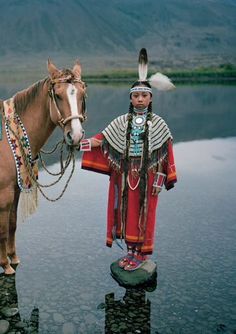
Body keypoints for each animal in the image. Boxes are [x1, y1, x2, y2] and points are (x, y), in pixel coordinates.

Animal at [0, 59, 86, 274]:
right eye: (58, 95)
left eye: (82, 94)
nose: (76, 135)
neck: (8, 140)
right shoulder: (4, 194)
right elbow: (3, 230)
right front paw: (5, 265)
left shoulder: (15, 189)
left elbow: (12, 224)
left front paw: (13, 257)